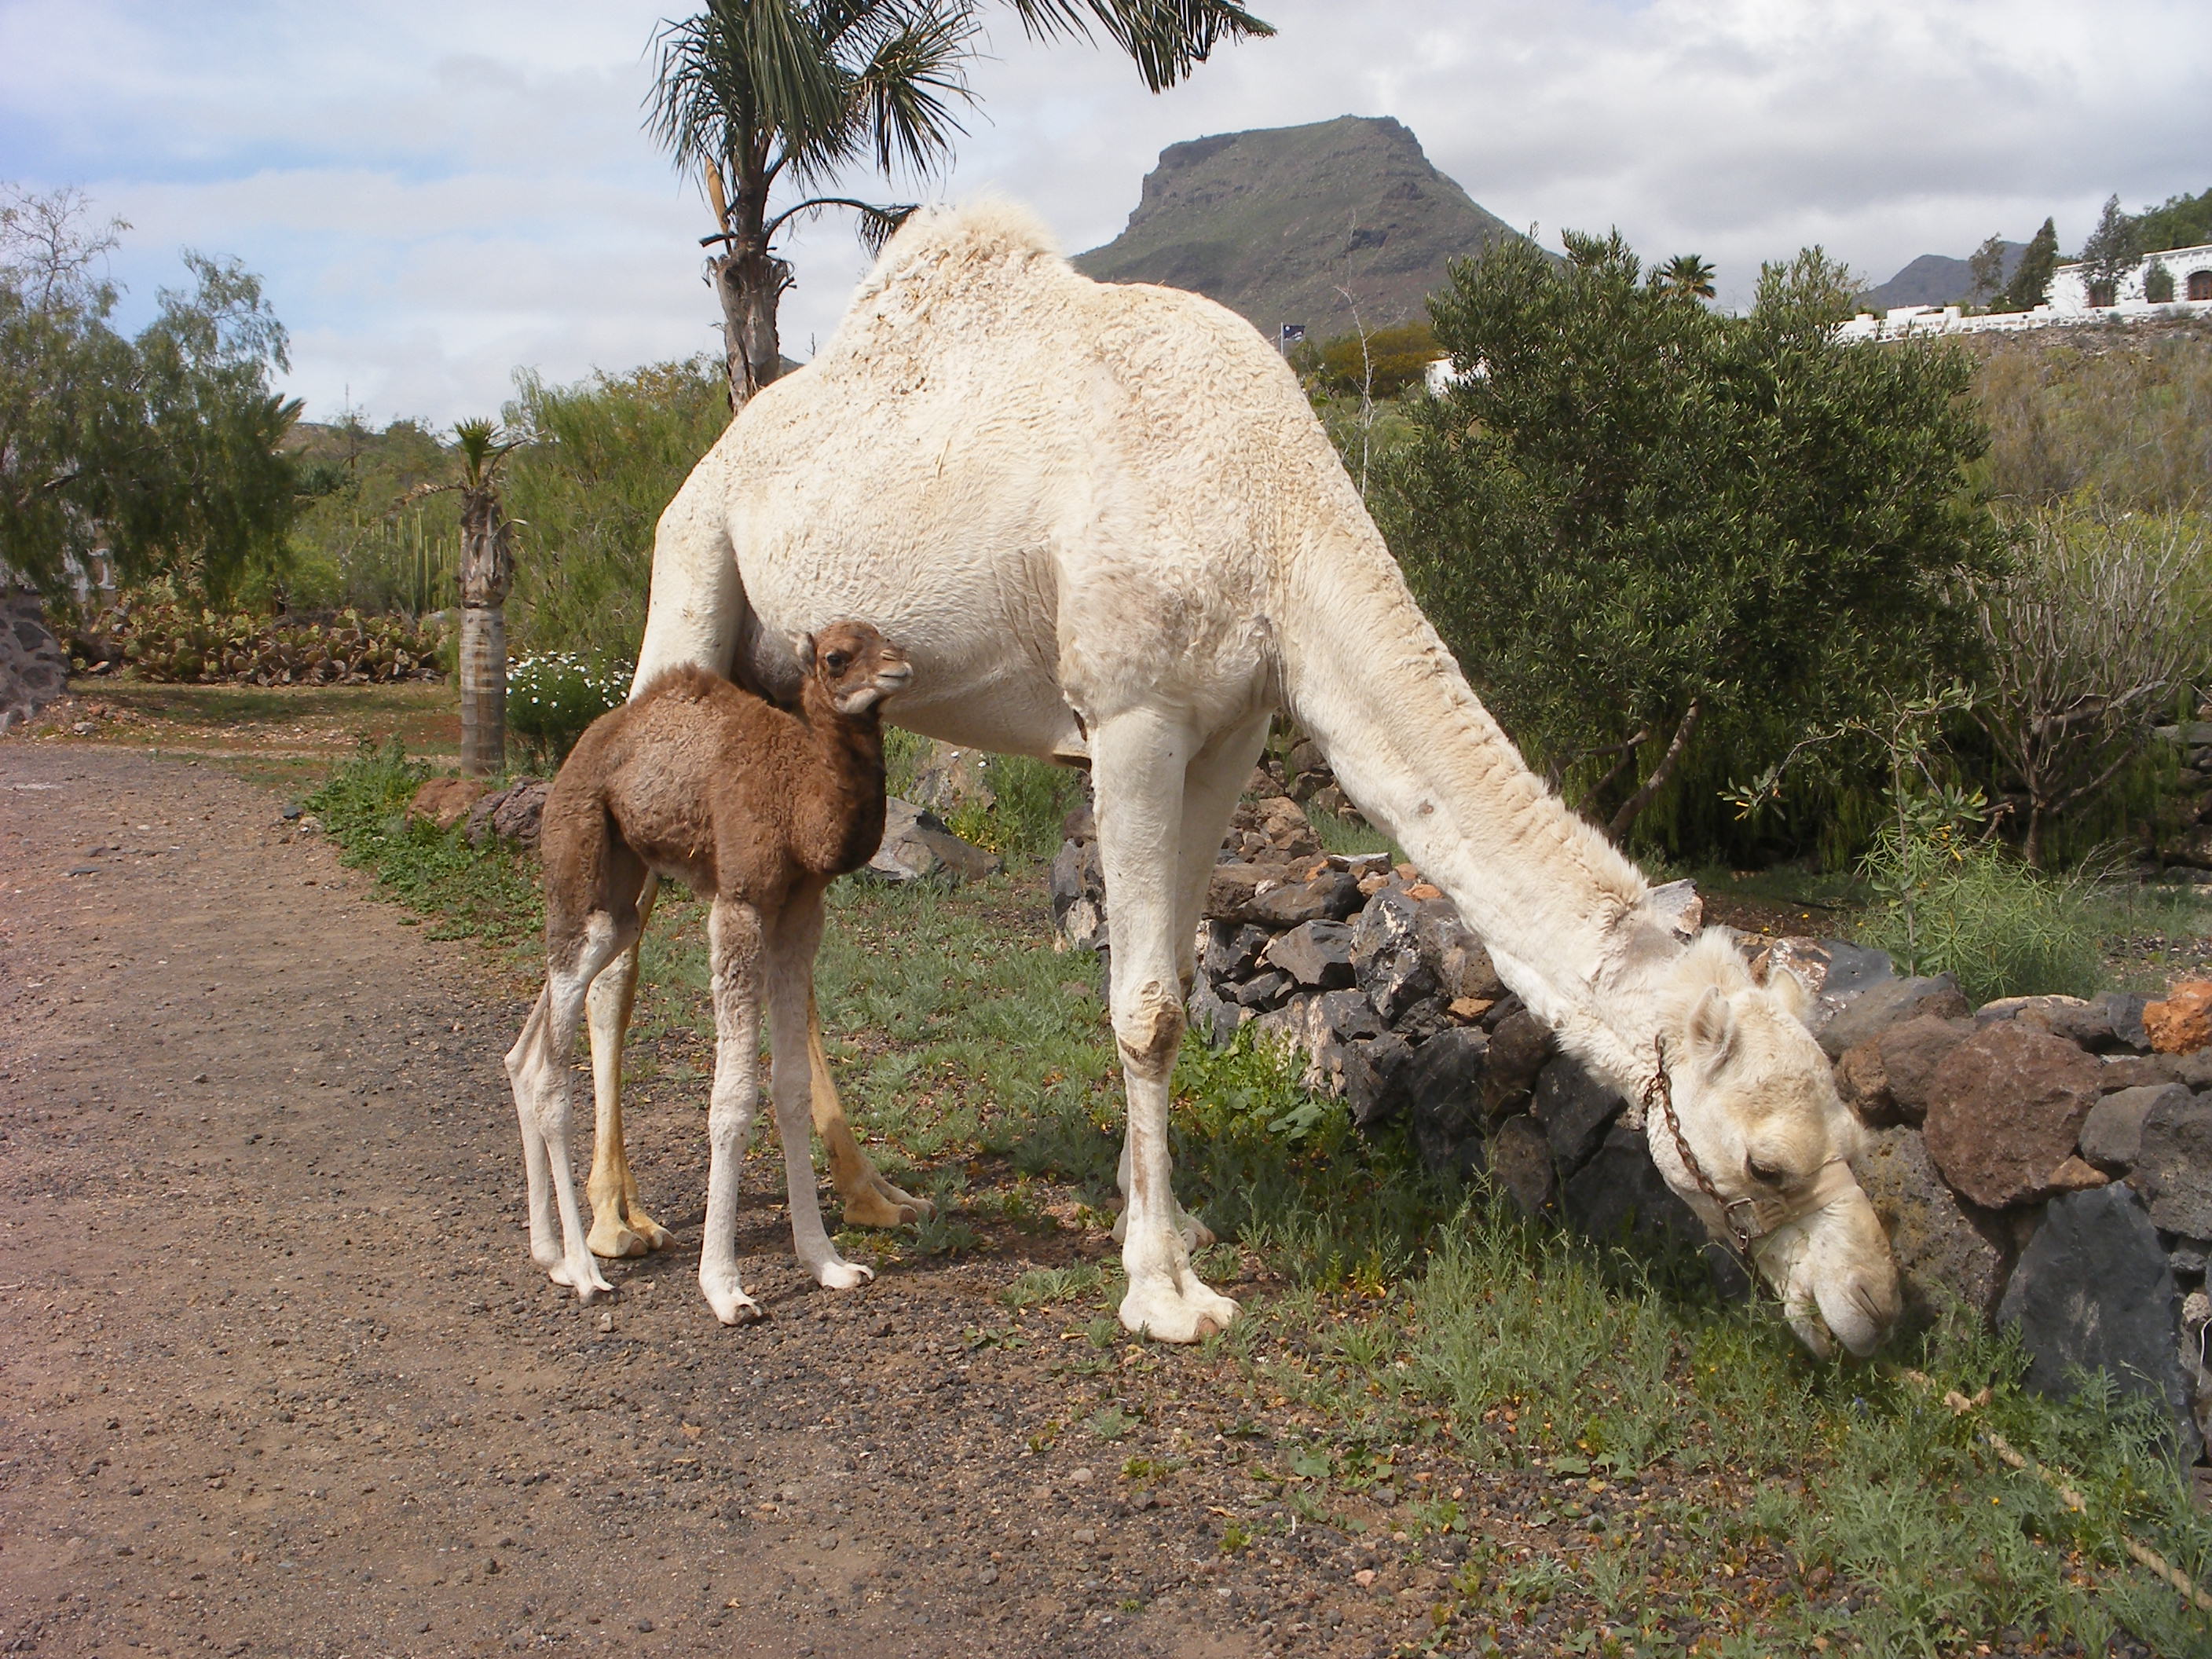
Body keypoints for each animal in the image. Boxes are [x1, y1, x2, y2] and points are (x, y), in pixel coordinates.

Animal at [504, 623, 910, 1321]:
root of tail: (578, 753)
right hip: (577, 859)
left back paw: (550, 1257)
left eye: (889, 638)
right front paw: (725, 1287)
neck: (797, 799)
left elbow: (791, 1087)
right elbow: (733, 1095)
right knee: (553, 1071)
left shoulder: (801, 912)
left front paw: (829, 1264)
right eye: (837, 657)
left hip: (617, 900)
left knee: (529, 1052)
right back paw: (586, 1270)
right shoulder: (740, 902)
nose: (901, 669)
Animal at [582, 200, 1902, 1355]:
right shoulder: (1130, 716)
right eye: (1768, 1159)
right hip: (690, 574)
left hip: (787, 687)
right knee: (626, 925)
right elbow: (1148, 1009)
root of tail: (707, 458)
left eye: (1851, 1125)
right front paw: (1164, 1295)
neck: (1278, 514)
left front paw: (1171, 1226)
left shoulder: (1225, 730)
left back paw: (872, 1199)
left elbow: (1170, 976)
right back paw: (614, 1225)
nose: (1875, 1308)